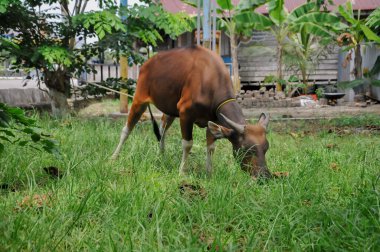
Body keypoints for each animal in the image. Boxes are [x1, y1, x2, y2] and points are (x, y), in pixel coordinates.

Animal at [111, 45, 272, 179]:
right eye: (246, 149)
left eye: (266, 148)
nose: (264, 176)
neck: (210, 80)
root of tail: (147, 63)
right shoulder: (185, 114)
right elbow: (187, 144)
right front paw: (182, 172)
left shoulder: (213, 120)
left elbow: (211, 147)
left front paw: (209, 172)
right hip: (139, 99)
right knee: (127, 129)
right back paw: (114, 157)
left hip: (170, 110)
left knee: (162, 129)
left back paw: (161, 155)